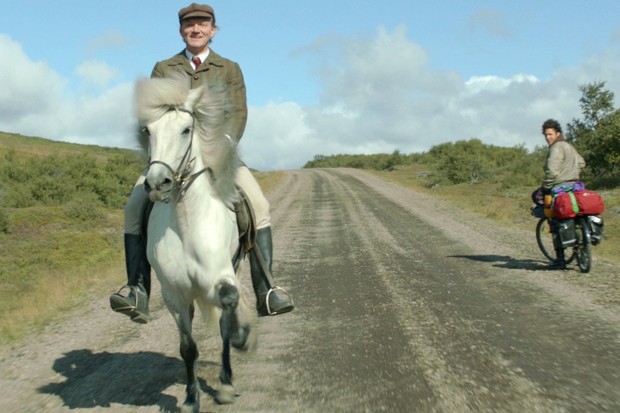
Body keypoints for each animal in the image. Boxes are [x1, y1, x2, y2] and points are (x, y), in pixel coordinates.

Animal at [134, 76, 258, 408]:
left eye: (186, 129)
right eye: (147, 131)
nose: (158, 183)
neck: (187, 224)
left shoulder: (223, 275)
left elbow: (228, 309)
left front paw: (242, 340)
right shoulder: (174, 295)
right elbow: (187, 347)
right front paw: (191, 399)